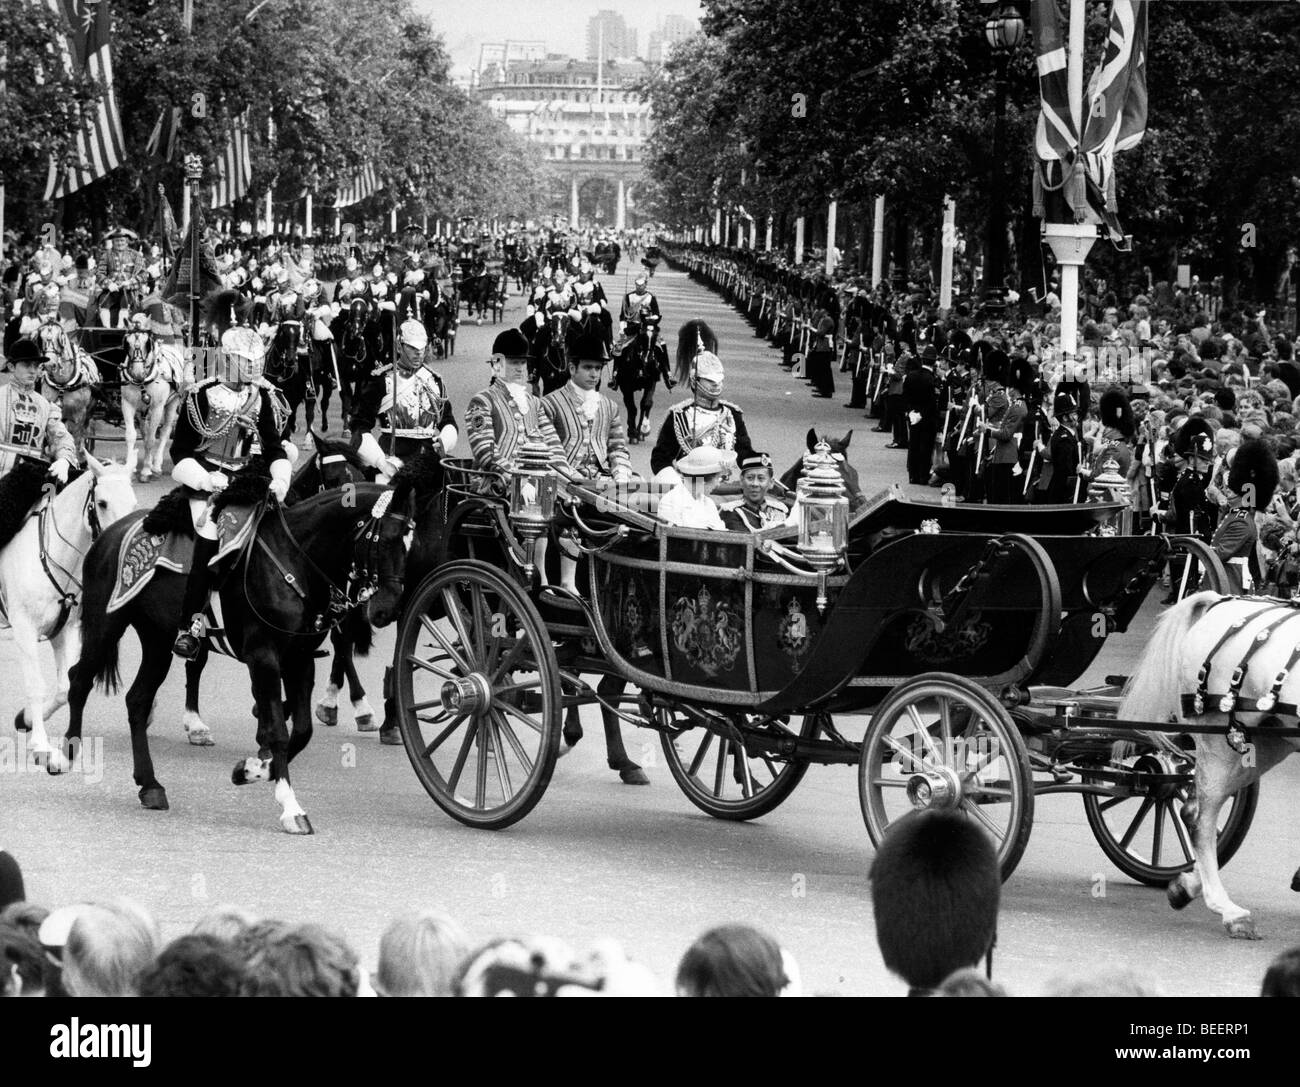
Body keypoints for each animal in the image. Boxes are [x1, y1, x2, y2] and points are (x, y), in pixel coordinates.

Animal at [3, 457, 137, 774]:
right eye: (102, 502)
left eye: (134, 502)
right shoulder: (25, 629)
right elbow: (36, 686)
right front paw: (41, 746)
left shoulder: (63, 631)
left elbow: (65, 686)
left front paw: (26, 719)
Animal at [63, 468, 418, 832]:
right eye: (387, 538)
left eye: (410, 541)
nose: (387, 609)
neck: (293, 561)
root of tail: (111, 532)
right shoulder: (264, 658)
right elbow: (278, 731)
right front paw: (290, 807)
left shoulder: (299, 659)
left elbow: (301, 730)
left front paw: (251, 770)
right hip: (106, 626)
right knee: (79, 680)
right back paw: (67, 753)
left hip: (158, 641)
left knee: (137, 700)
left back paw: (150, 786)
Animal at [119, 326, 187, 481]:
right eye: (127, 343)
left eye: (147, 344)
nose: (137, 373)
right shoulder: (127, 404)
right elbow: (131, 435)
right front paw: (130, 468)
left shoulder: (157, 408)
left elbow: (151, 439)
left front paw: (146, 471)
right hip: (142, 412)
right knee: (145, 433)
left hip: (172, 403)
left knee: (164, 432)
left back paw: (155, 465)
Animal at [1118, 590, 1300, 936]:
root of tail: (1218, 602)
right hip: (1219, 745)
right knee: (1199, 819)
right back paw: (1227, 910)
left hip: (1263, 745)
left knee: (1194, 812)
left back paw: (1187, 886)